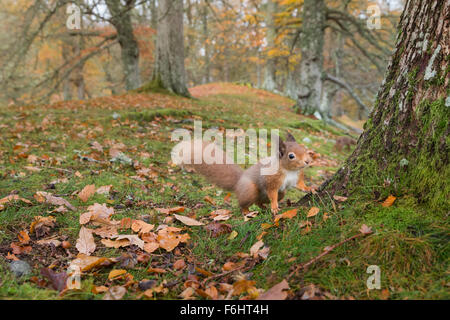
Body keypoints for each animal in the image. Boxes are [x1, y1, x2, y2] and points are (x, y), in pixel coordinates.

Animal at [176, 132, 312, 215]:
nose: (307, 161)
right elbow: (272, 193)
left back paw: (263, 207)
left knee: (258, 201)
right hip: (249, 190)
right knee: (244, 203)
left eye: (304, 148)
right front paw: (274, 207)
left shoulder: (296, 178)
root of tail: (239, 180)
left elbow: (300, 185)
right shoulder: (271, 180)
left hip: (281, 193)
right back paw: (247, 211)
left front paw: (309, 189)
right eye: (291, 156)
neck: (289, 170)